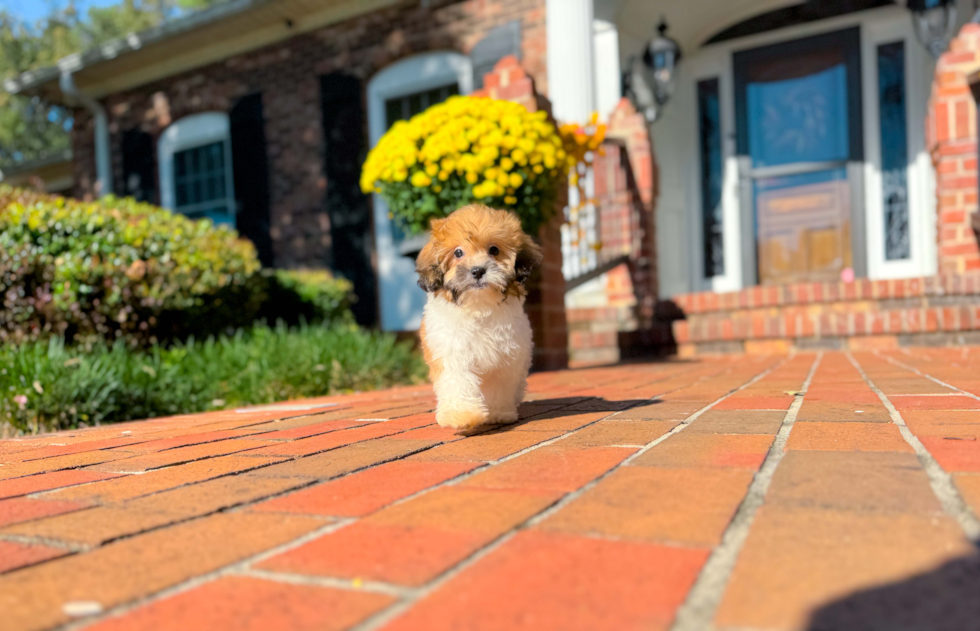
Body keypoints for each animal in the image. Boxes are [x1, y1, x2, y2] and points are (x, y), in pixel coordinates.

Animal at [414, 205, 544, 432]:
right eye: (458, 252)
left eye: (494, 250)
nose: (477, 271)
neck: (478, 305)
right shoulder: (451, 351)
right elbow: (457, 379)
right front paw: (461, 414)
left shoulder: (505, 355)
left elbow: (497, 385)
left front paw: (499, 413)